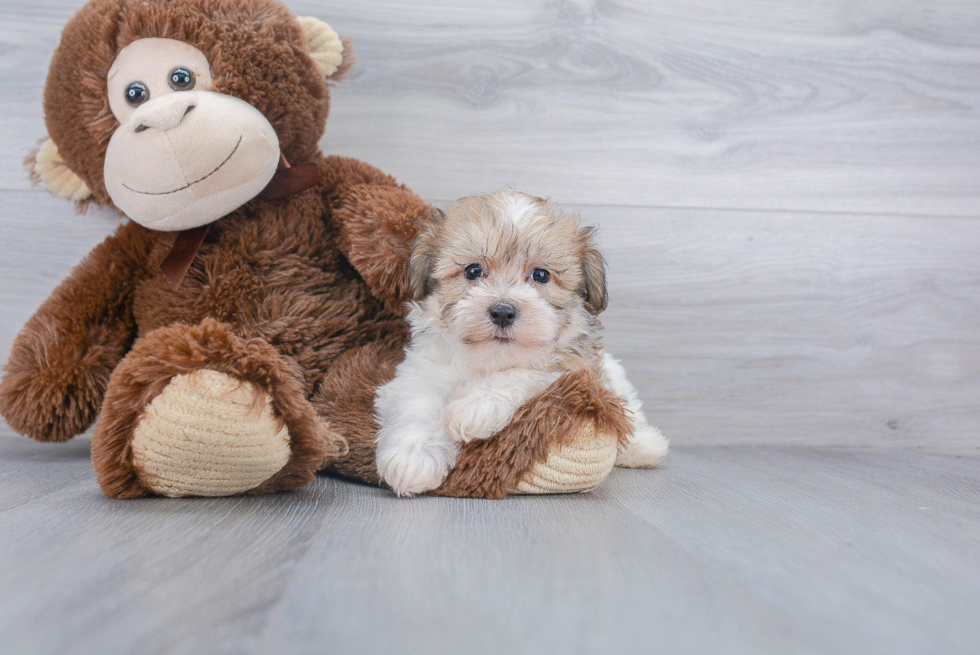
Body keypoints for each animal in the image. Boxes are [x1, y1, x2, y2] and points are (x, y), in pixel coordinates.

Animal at [374, 191, 668, 498]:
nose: (503, 312)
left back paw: (644, 447)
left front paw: (476, 405)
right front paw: (414, 455)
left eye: (540, 275)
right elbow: (417, 401)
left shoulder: (578, 369)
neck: (490, 360)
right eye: (473, 270)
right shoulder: (420, 370)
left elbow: (525, 373)